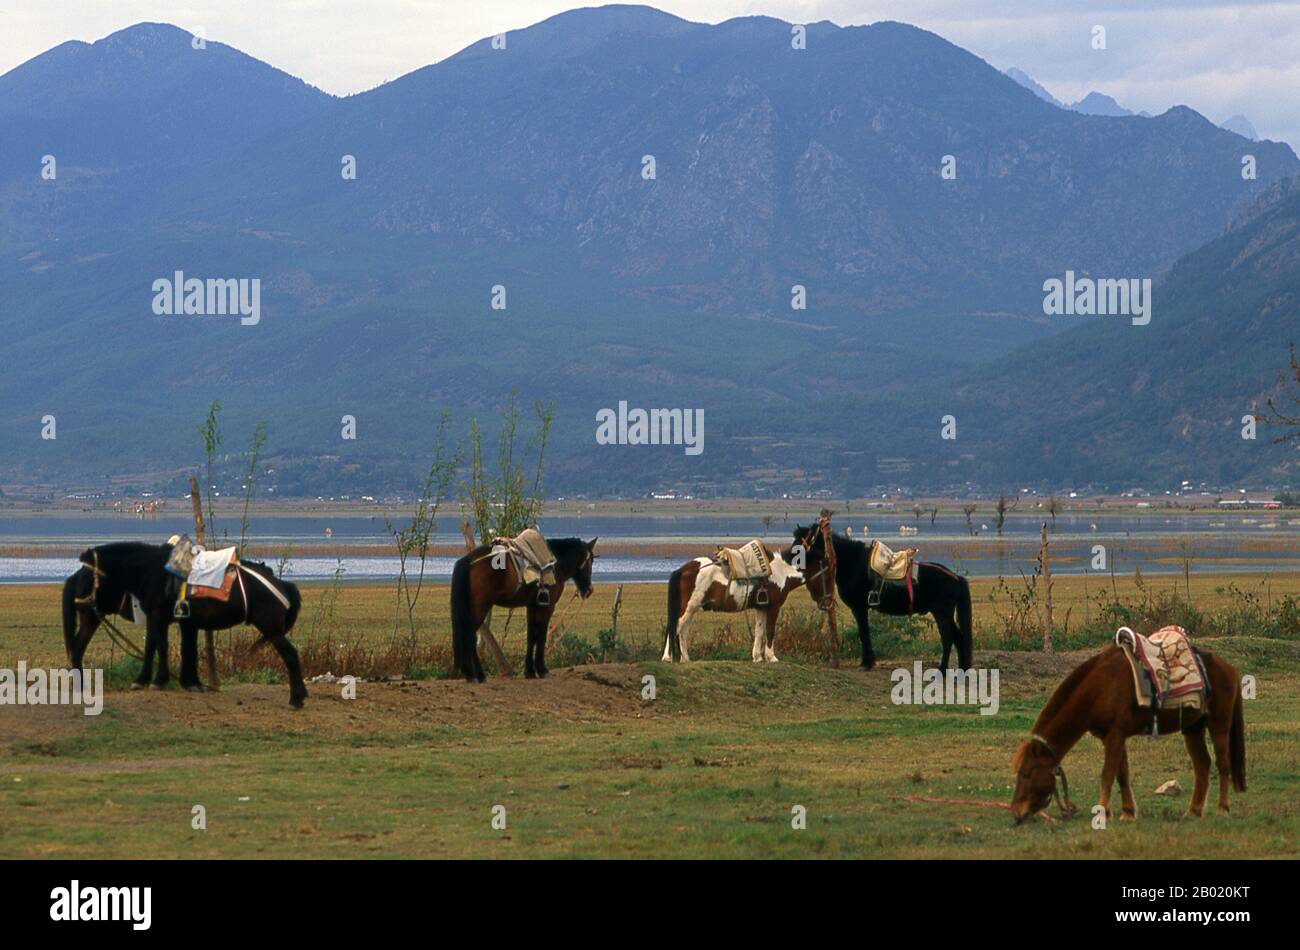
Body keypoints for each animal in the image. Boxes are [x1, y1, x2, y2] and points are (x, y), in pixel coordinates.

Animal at [76, 541, 308, 708]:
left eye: (87, 572)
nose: (79, 602)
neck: (153, 570)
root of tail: (282, 585)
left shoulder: (158, 616)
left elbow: (159, 646)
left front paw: (153, 680)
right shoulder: (176, 621)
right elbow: (176, 648)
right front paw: (184, 682)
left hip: (272, 630)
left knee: (291, 655)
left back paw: (296, 699)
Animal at [450, 536, 598, 682]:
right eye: (590, 561)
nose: (589, 590)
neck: (555, 564)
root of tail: (468, 561)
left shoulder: (532, 606)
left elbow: (531, 637)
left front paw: (530, 672)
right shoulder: (547, 607)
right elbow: (541, 636)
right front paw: (542, 670)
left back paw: (471, 674)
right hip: (479, 607)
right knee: (469, 636)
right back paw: (478, 675)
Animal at [794, 526, 972, 672]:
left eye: (803, 540)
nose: (791, 559)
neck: (853, 564)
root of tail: (955, 577)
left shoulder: (859, 608)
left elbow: (863, 632)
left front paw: (866, 663)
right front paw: (868, 662)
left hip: (942, 613)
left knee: (948, 638)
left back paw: (942, 670)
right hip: (945, 615)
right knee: (959, 638)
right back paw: (961, 670)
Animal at [1010, 645, 1245, 824]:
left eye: (1026, 773)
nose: (1016, 812)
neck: (1099, 688)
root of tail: (1230, 669)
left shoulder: (1114, 735)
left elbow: (1107, 775)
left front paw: (1103, 813)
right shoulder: (1114, 736)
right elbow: (1122, 774)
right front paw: (1127, 813)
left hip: (1218, 725)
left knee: (1223, 764)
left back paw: (1223, 809)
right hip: (1193, 728)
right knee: (1202, 764)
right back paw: (1193, 811)